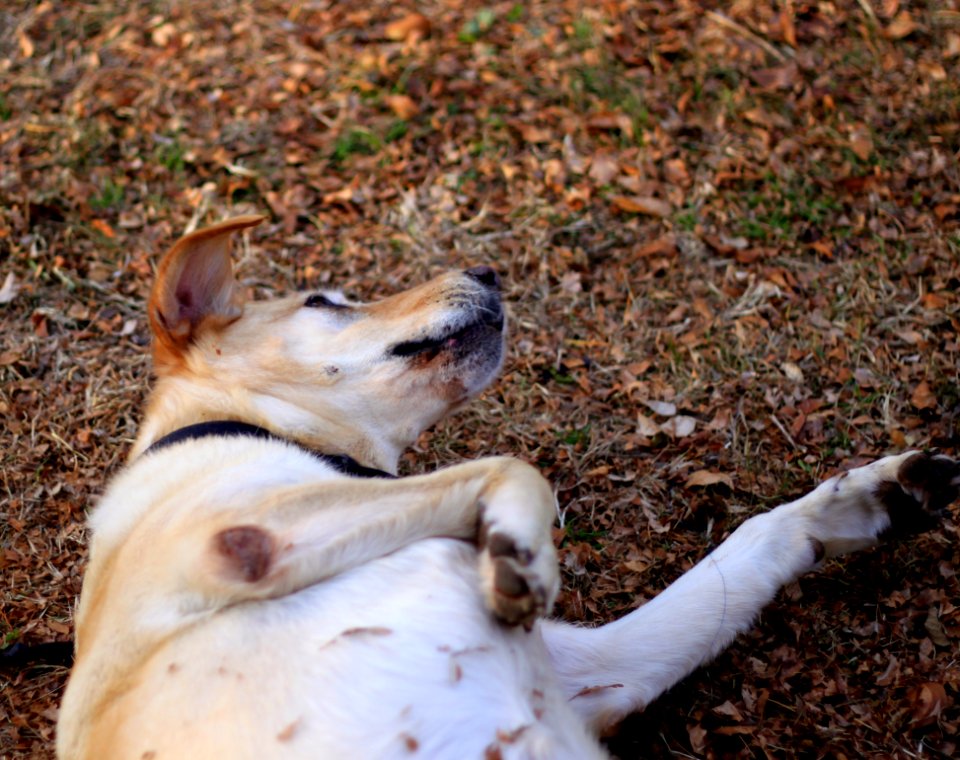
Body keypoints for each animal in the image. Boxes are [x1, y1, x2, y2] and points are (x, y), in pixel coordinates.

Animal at [58, 215, 960, 760]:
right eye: (324, 301)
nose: (490, 269)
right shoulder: (239, 537)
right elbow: (513, 467)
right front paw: (526, 552)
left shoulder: (596, 671)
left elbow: (745, 553)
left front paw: (868, 497)